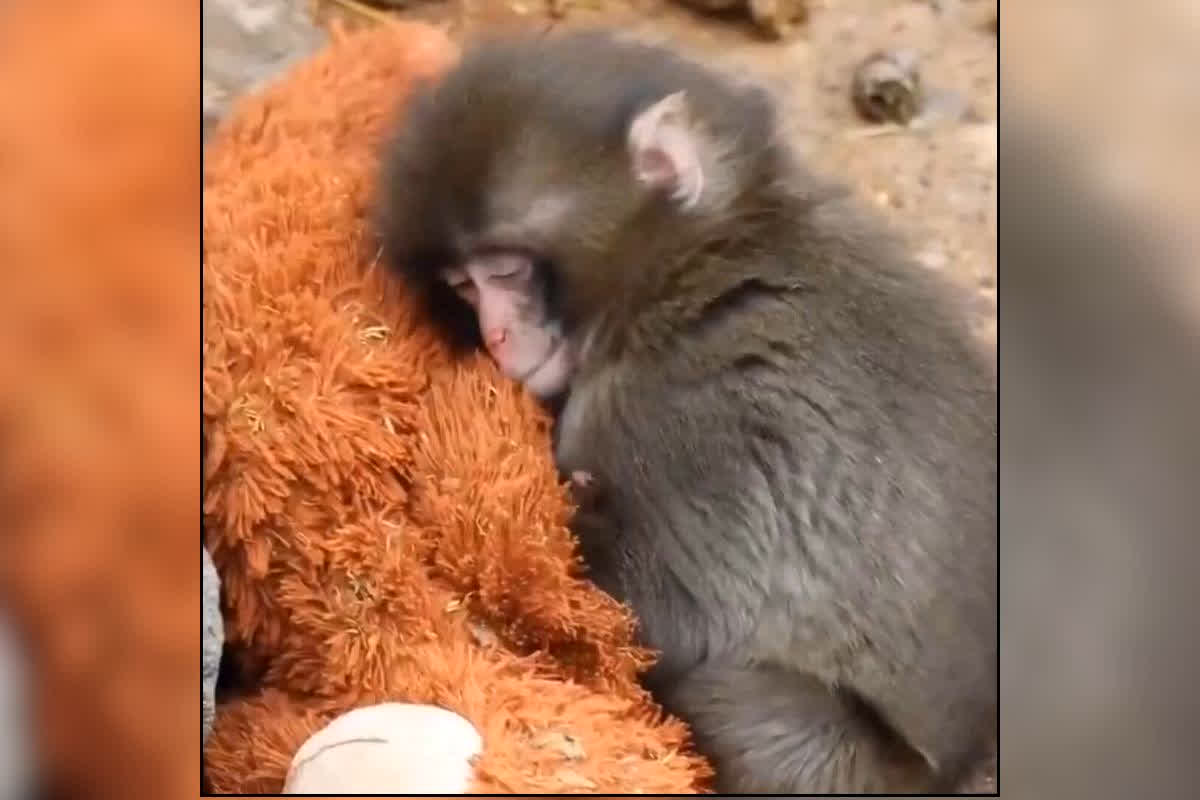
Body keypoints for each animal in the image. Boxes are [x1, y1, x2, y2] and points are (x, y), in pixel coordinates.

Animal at [375, 30, 997, 794]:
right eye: (463, 285)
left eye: (507, 270)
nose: (495, 336)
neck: (687, 264)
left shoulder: (680, 414)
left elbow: (667, 620)